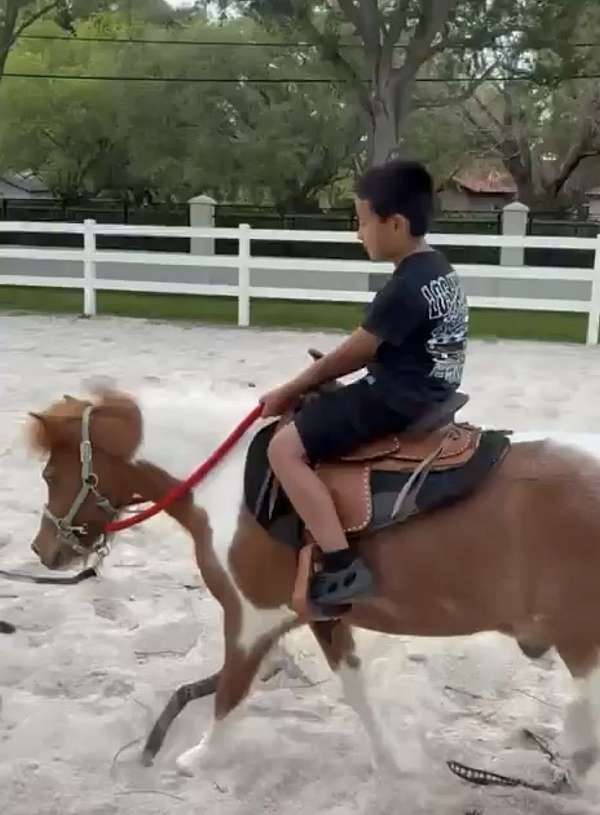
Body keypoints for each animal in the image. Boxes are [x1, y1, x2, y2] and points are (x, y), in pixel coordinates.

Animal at [23, 377, 600, 785]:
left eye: (50, 475)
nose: (42, 550)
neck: (228, 482)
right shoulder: (322, 617)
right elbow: (355, 688)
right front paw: (391, 761)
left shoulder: (249, 619)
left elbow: (230, 692)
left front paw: (200, 758)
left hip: (581, 643)